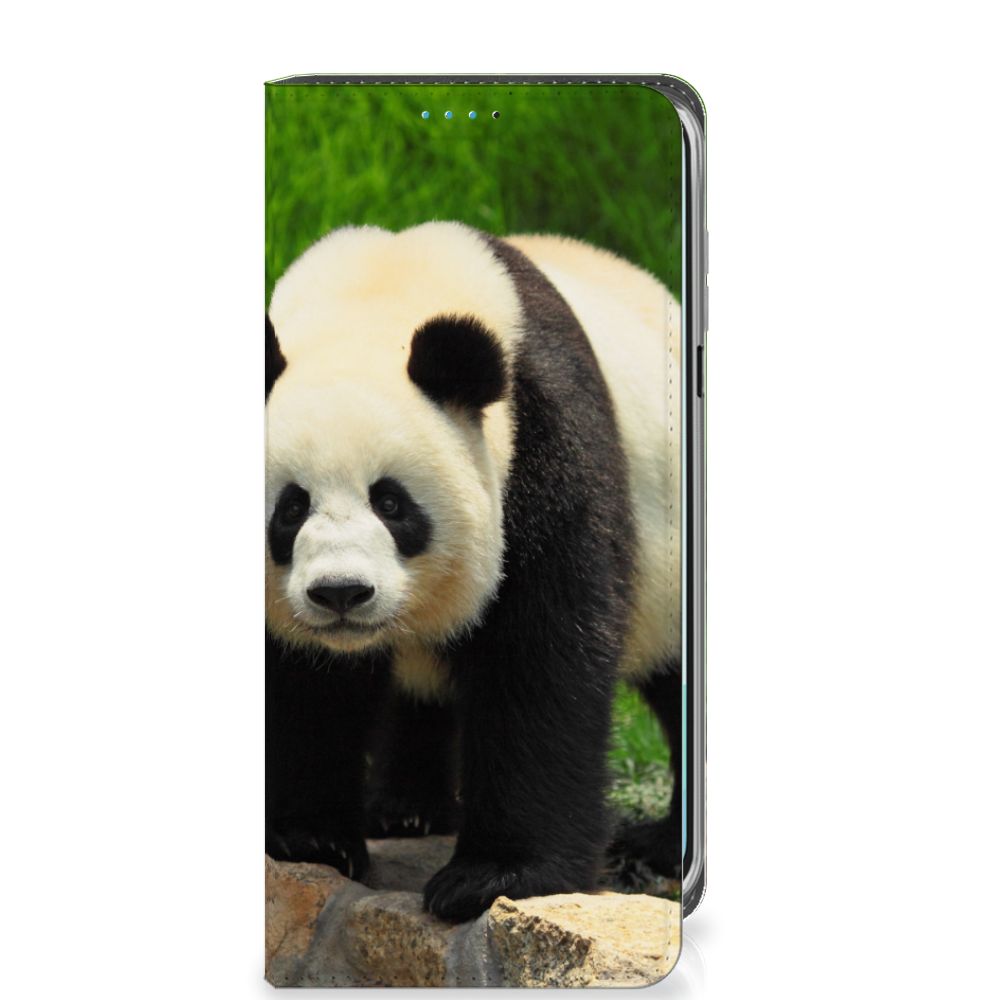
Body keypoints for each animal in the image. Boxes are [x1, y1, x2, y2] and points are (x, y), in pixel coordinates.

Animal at [265, 221, 682, 922]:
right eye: (290, 508)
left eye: (392, 503)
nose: (342, 593)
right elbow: (304, 684)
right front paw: (310, 838)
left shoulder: (543, 446)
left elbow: (540, 658)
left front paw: (494, 877)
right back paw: (406, 809)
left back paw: (661, 845)